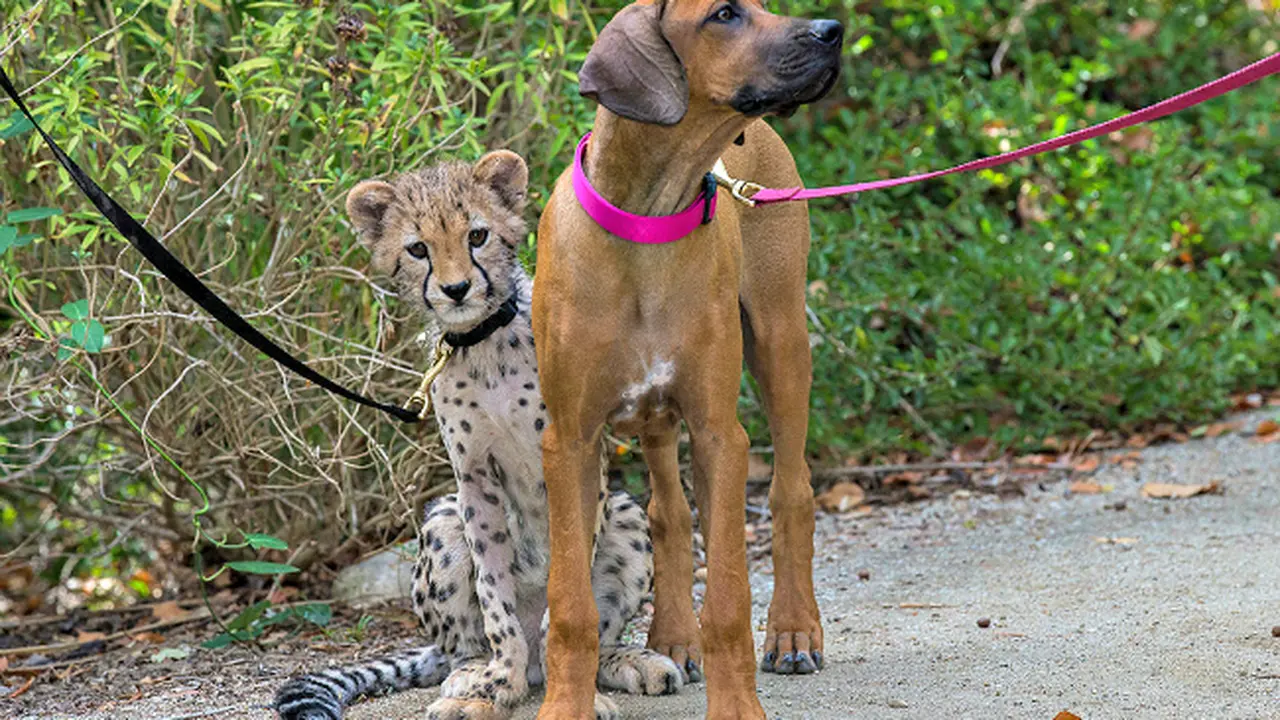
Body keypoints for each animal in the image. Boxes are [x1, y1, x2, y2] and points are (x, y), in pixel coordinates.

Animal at [273, 150, 688, 720]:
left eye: (477, 235)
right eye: (418, 248)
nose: (456, 289)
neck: (485, 344)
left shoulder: (574, 458)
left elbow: (567, 599)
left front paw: (576, 692)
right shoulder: (473, 480)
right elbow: (495, 599)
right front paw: (500, 684)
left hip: (626, 514)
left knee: (599, 631)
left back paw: (629, 662)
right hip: (444, 519)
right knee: (460, 647)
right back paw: (473, 681)